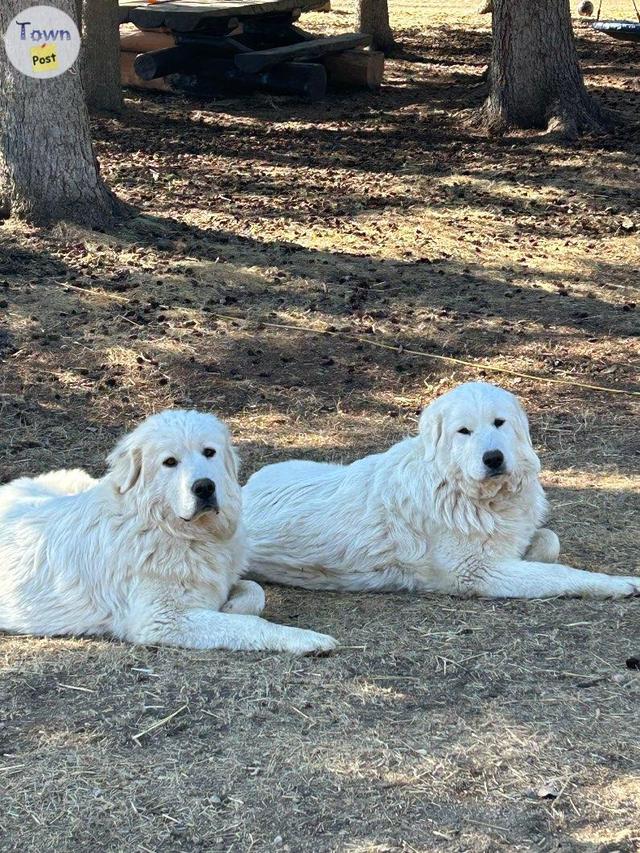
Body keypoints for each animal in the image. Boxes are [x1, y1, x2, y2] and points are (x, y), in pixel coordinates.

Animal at [0, 410, 338, 656]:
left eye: (209, 452)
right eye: (170, 462)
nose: (204, 487)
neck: (177, 532)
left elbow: (255, 591)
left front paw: (232, 606)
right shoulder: (161, 620)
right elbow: (253, 625)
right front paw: (305, 639)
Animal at [244, 382, 640, 596]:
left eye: (499, 423)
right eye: (464, 431)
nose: (493, 458)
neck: (463, 491)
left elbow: (549, 541)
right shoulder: (480, 573)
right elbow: (562, 574)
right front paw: (620, 583)